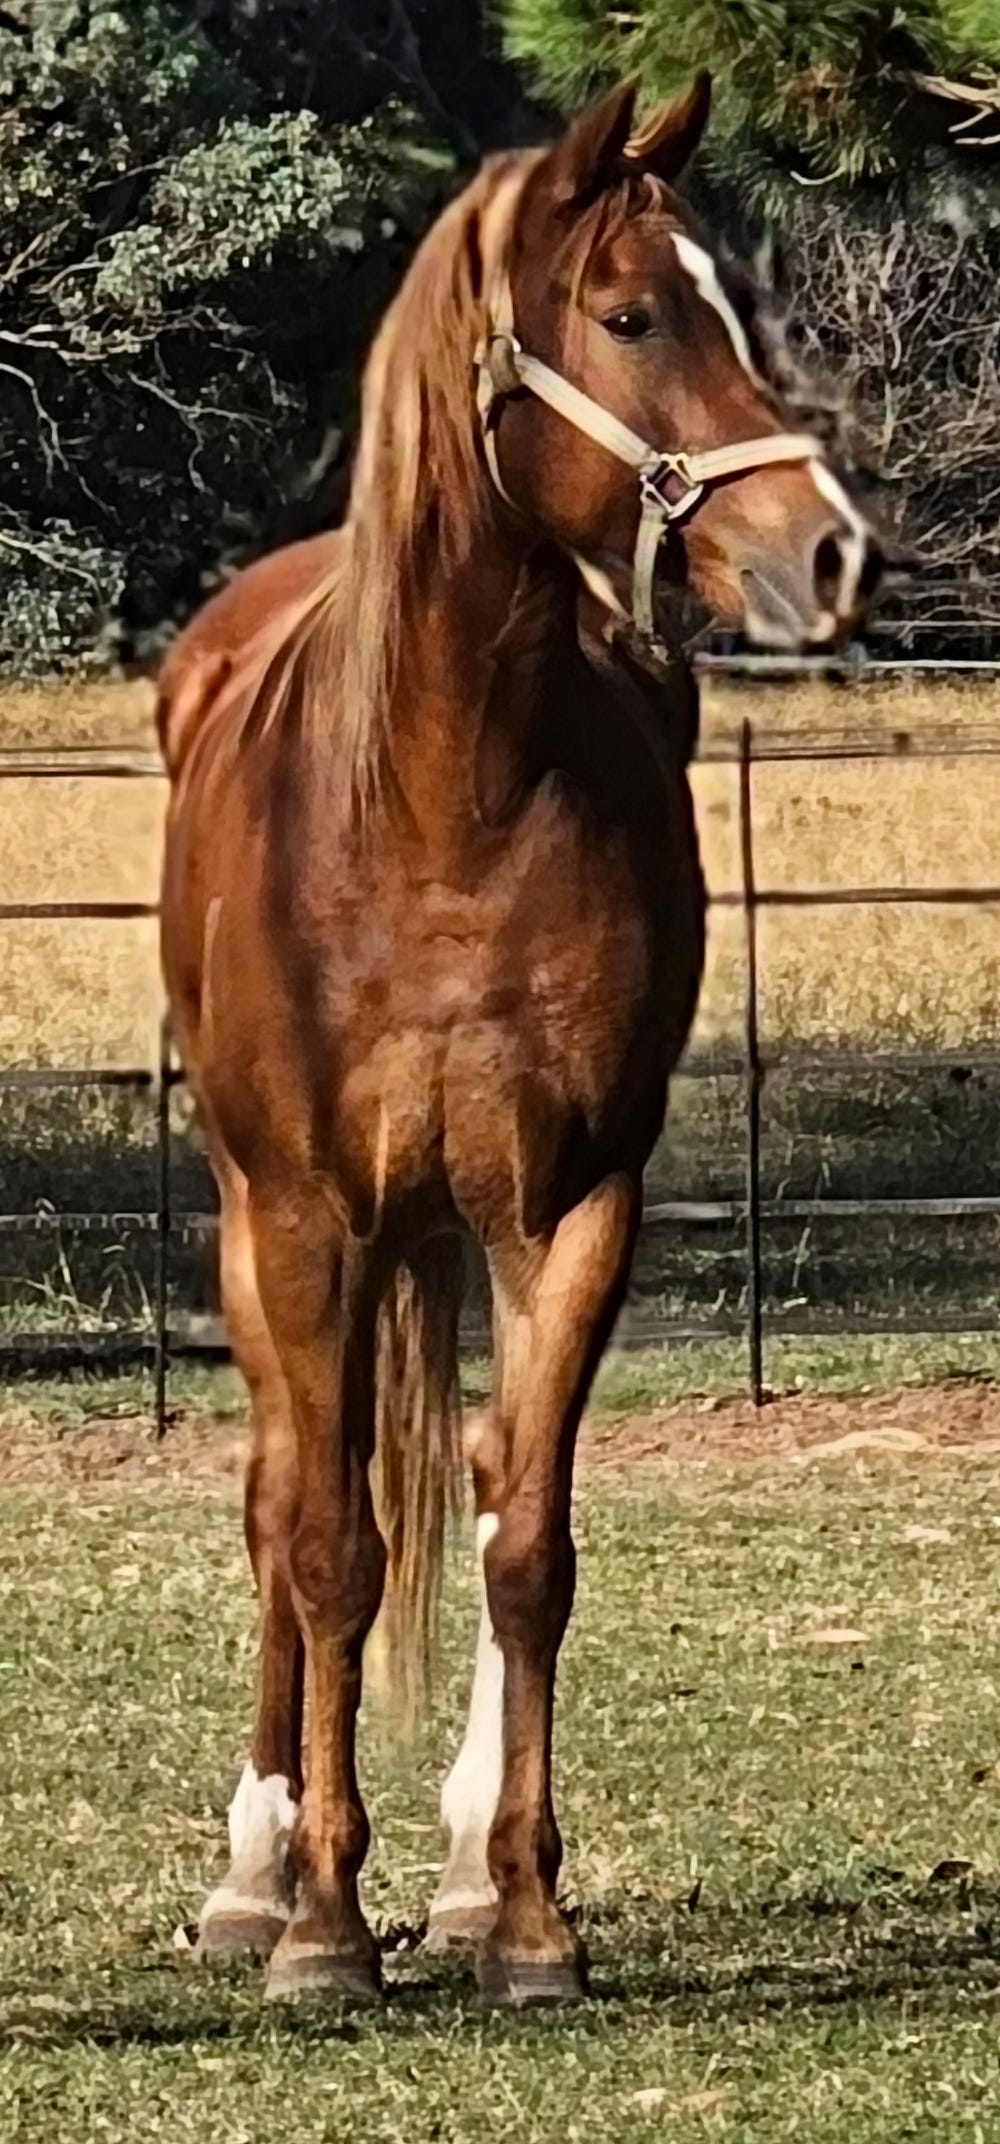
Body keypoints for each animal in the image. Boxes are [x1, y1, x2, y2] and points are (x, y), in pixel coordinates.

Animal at [157, 73, 880, 2008]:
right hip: (261, 1233)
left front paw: (530, 1916)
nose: (831, 551)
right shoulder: (309, 1218)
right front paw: (322, 1928)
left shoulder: (569, 1208)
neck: (436, 794)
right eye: (629, 315)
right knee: (281, 1491)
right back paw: (256, 1870)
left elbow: (527, 1543)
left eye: (738, 306)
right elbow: (330, 1542)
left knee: (478, 1491)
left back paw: (470, 1878)